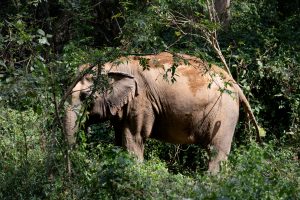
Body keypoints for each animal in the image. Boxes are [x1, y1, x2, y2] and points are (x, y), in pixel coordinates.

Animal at [63, 52, 260, 173]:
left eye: (85, 97)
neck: (113, 65)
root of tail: (235, 84)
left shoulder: (140, 100)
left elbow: (134, 138)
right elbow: (119, 139)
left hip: (224, 112)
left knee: (216, 151)